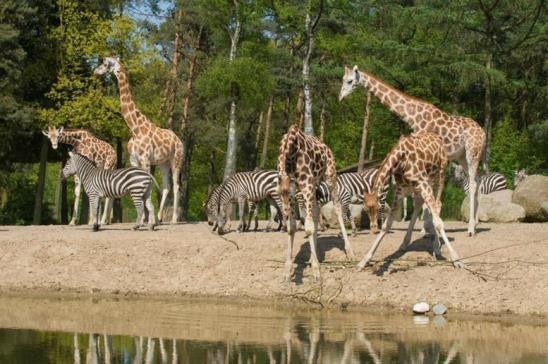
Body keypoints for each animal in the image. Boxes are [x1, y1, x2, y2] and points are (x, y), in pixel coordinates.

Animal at [94, 56, 184, 225]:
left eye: (105, 64)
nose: (95, 71)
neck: (134, 128)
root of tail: (179, 140)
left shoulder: (146, 159)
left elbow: (146, 185)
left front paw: (147, 219)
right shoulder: (134, 160)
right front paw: (142, 218)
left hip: (177, 159)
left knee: (176, 186)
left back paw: (174, 219)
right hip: (163, 163)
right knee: (167, 186)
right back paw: (160, 218)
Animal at [278, 124, 356, 282]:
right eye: (280, 194)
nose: (285, 211)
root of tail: (327, 147)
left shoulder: (306, 186)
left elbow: (308, 228)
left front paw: (316, 271)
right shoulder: (296, 191)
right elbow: (293, 227)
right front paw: (287, 271)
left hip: (329, 176)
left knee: (337, 208)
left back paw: (350, 253)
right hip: (315, 185)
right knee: (315, 212)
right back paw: (312, 258)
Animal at [340, 65, 486, 236]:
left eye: (350, 81)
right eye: (343, 79)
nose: (340, 97)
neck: (412, 116)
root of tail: (483, 133)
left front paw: (426, 229)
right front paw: (426, 228)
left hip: (472, 153)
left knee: (473, 183)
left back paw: (471, 229)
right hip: (462, 156)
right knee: (477, 181)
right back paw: (476, 223)